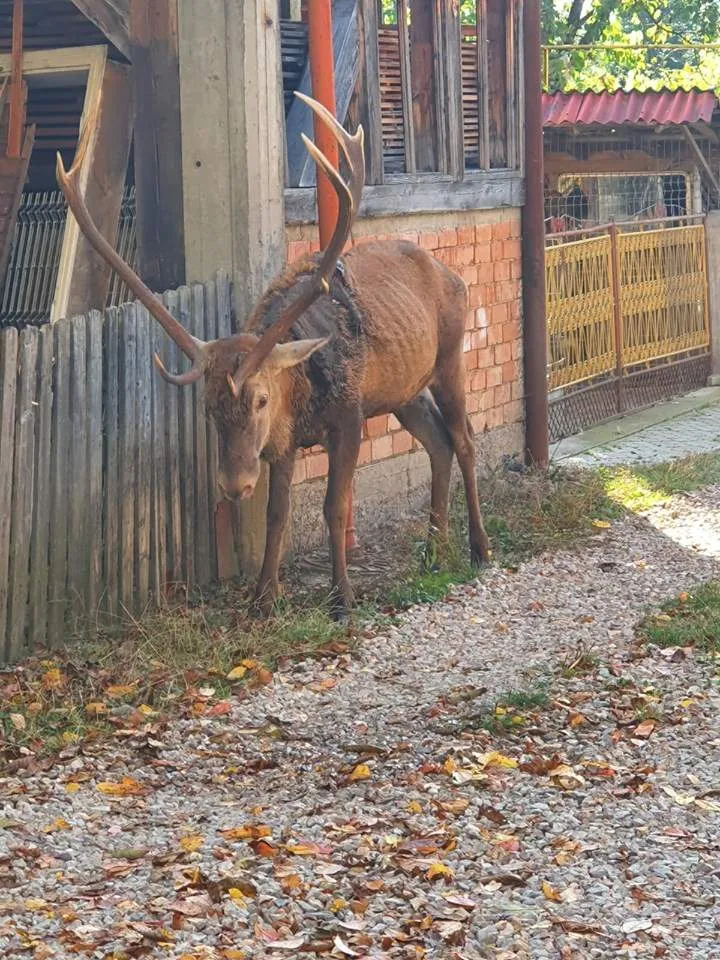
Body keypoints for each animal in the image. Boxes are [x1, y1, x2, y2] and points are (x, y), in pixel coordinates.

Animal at [56, 92, 491, 619]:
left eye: (261, 399)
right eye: (208, 408)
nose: (233, 483)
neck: (300, 399)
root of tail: (453, 274)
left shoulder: (349, 417)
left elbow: (334, 505)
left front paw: (341, 597)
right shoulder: (284, 443)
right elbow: (276, 512)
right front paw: (264, 596)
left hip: (449, 356)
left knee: (464, 440)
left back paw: (479, 547)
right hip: (404, 391)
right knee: (438, 443)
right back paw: (433, 550)